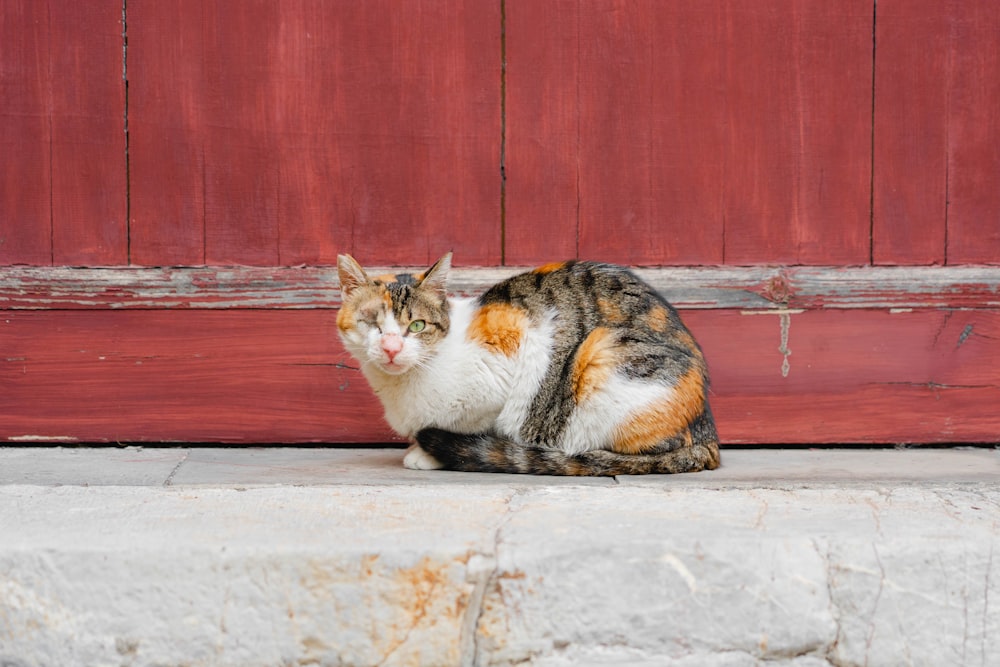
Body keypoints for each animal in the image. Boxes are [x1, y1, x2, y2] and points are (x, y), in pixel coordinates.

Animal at [336, 253, 720, 478]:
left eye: (416, 326)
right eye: (372, 323)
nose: (391, 347)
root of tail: (707, 430)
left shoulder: (515, 353)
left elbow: (482, 424)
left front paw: (429, 453)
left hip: (600, 354)